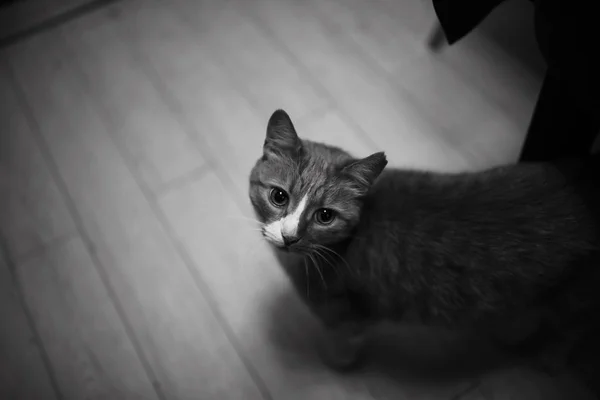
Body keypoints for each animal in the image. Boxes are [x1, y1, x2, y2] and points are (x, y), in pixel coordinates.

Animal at [247, 108, 600, 390]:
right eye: (278, 196)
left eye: (325, 216)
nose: (290, 237)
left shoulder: (348, 316)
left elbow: (343, 345)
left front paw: (335, 363)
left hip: (574, 297)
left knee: (572, 329)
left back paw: (547, 357)